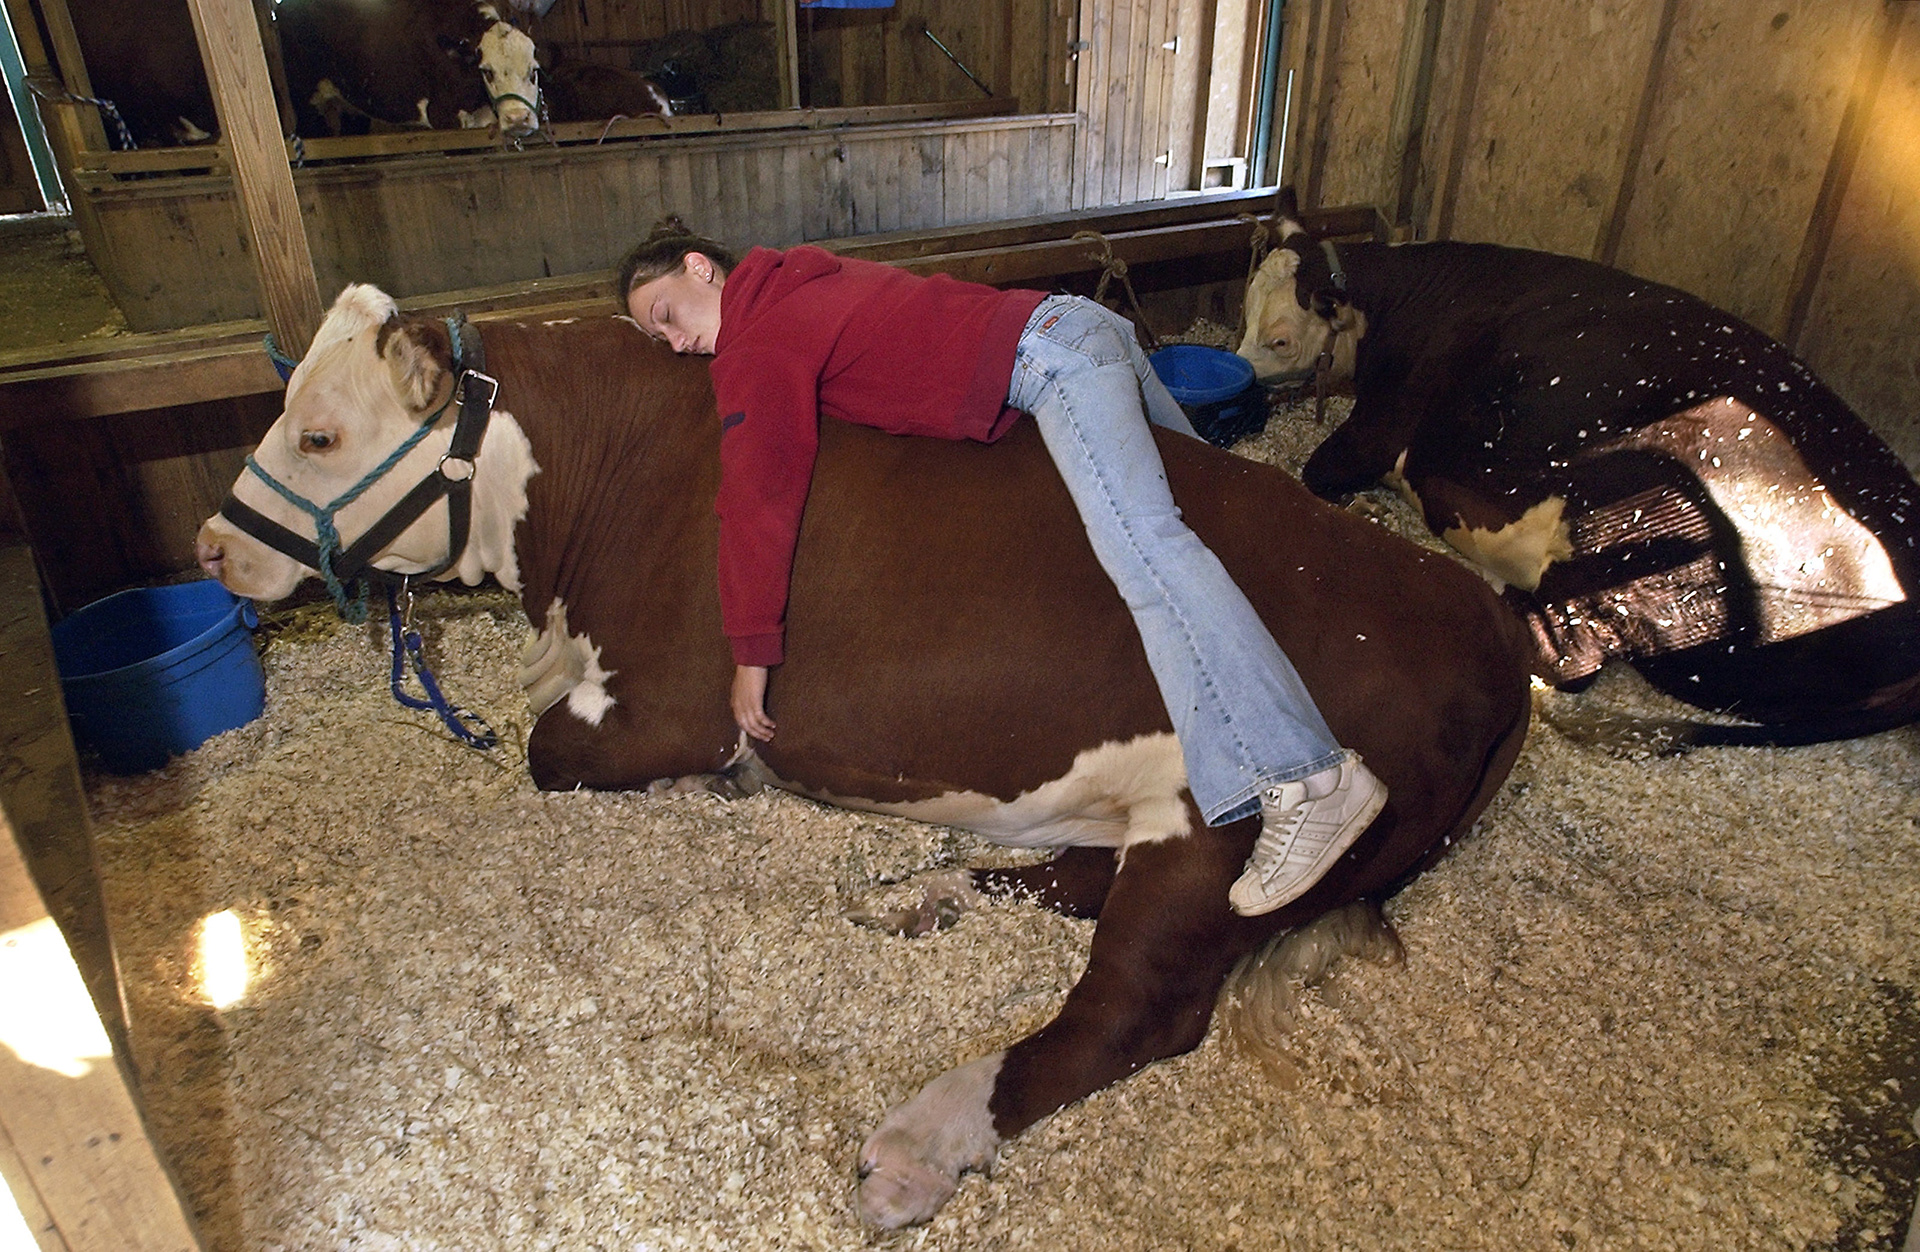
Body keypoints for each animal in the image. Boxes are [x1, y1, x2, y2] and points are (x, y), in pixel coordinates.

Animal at [193, 283, 1533, 1228]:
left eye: (320, 434)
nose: (209, 544)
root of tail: (1477, 618)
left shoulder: (663, 700)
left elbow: (549, 751)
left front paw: (712, 782)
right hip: (1139, 809)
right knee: (1064, 886)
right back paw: (914, 894)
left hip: (1228, 824)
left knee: (1131, 1009)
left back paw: (921, 1140)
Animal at [1239, 197, 1920, 749]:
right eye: (1243, 314)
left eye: (1278, 340)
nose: (1235, 366)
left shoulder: (1380, 428)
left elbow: (1318, 473)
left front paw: (1368, 510)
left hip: (1643, 518)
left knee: (1566, 656)